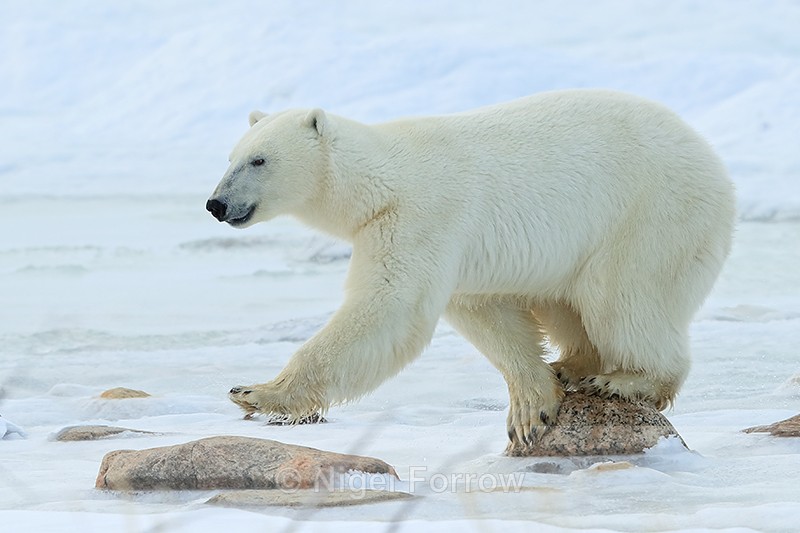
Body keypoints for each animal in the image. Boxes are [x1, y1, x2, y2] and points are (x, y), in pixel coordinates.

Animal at [206, 89, 735, 453]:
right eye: (230, 157)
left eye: (259, 159)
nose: (217, 204)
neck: (380, 181)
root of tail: (713, 163)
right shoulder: (460, 249)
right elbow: (485, 311)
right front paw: (530, 406)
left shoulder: (422, 217)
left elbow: (391, 307)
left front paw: (255, 391)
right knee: (565, 301)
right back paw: (572, 364)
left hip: (649, 213)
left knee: (620, 295)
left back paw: (624, 379)